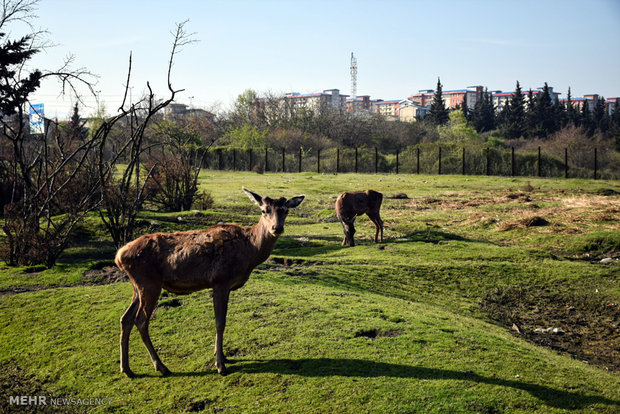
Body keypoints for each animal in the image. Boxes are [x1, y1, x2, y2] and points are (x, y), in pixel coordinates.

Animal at [115, 189, 306, 376]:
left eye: (285, 210)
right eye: (264, 210)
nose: (277, 228)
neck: (249, 253)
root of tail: (119, 256)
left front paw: (221, 355)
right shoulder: (220, 280)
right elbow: (220, 322)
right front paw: (220, 364)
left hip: (138, 286)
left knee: (126, 318)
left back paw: (127, 369)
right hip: (149, 283)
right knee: (141, 320)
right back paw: (161, 366)